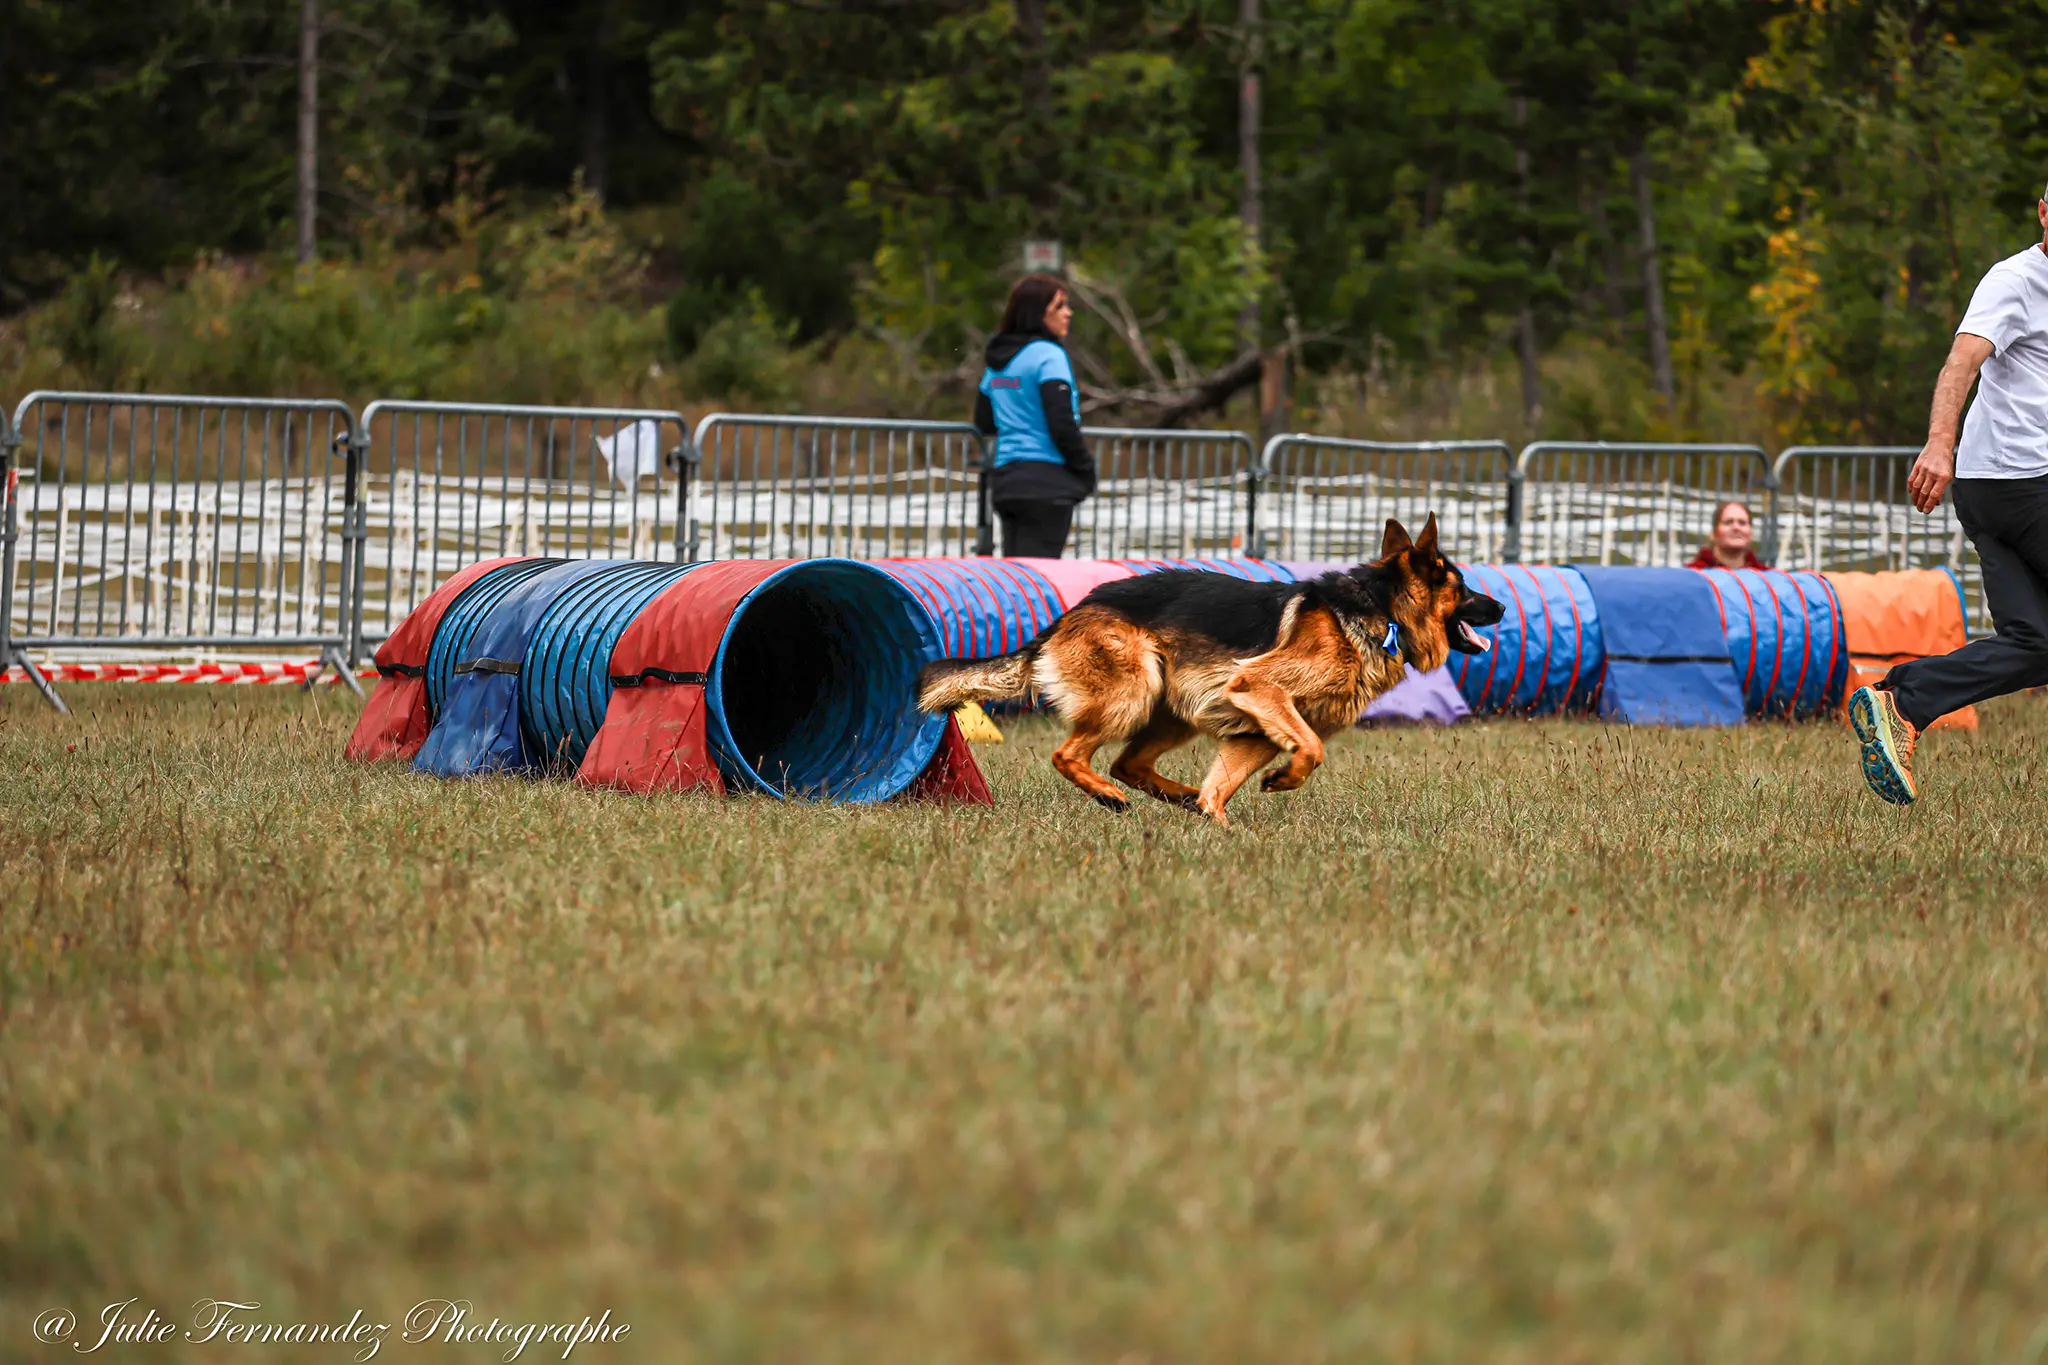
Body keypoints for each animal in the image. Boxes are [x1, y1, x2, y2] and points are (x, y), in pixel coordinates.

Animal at [913, 517, 1507, 826]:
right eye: (1464, 588)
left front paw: (1220, 825)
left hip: (1172, 712)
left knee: (1130, 764)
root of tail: (1067, 614)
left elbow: (1223, 786)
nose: (1502, 606)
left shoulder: (1253, 732)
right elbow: (1312, 749)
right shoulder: (1259, 689)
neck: (1380, 610)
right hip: (1136, 690)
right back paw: (1108, 797)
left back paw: (1178, 797)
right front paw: (1282, 781)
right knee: (1071, 755)